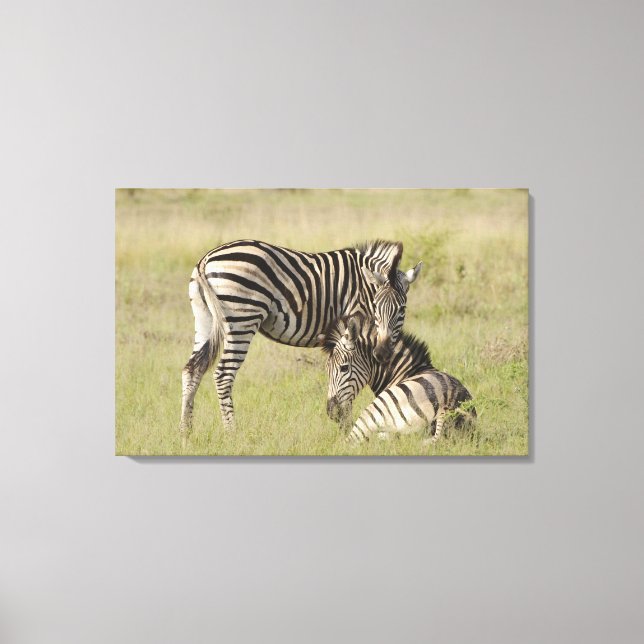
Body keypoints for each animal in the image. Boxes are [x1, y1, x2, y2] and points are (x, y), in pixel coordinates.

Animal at [180, 239, 422, 438]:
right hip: (242, 317)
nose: (382, 352)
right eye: (376, 306)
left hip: (204, 318)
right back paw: (232, 434)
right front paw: (346, 427)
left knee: (192, 369)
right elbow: (349, 372)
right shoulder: (353, 325)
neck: (364, 286)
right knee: (223, 375)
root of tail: (205, 260)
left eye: (402, 309)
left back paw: (186, 433)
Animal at [318, 313, 475, 443]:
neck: (407, 371)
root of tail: (445, 408)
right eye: (327, 370)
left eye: (344, 368)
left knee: (348, 442)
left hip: (375, 410)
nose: (331, 411)